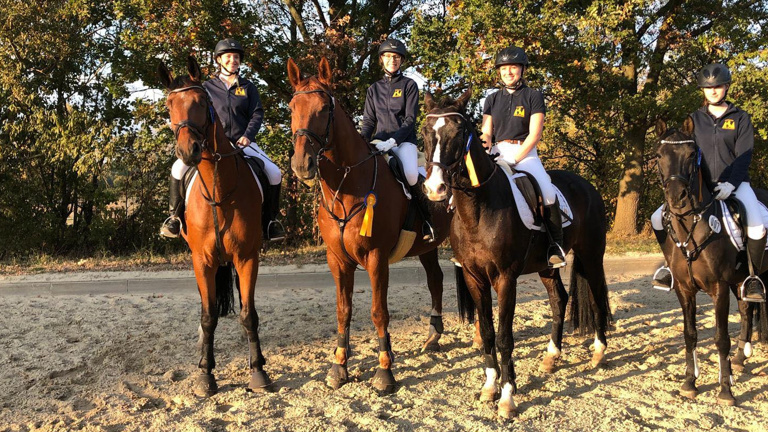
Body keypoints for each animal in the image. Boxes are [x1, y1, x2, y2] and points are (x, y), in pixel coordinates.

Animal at [158, 55, 274, 396]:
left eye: (201, 101)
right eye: (169, 105)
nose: (189, 152)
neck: (219, 190)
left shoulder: (247, 258)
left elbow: (249, 315)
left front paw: (258, 370)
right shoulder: (203, 260)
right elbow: (208, 316)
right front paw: (205, 374)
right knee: (204, 306)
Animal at [286, 56, 450, 392]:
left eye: (324, 107)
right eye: (292, 108)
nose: (301, 165)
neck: (347, 188)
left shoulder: (376, 258)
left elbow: (378, 313)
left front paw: (385, 371)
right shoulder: (337, 260)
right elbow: (343, 311)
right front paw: (339, 366)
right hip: (428, 248)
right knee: (436, 280)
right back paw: (433, 336)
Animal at [420, 89, 612, 416]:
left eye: (458, 132)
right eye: (424, 130)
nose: (435, 188)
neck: (478, 209)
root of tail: (588, 186)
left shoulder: (505, 278)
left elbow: (504, 338)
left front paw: (507, 397)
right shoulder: (474, 278)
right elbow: (487, 333)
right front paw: (489, 387)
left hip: (591, 255)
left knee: (598, 297)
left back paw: (598, 353)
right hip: (547, 266)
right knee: (559, 300)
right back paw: (551, 356)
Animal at [656, 118, 768, 404]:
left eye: (690, 154)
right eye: (659, 156)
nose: (677, 198)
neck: (691, 227)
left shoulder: (719, 288)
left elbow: (720, 338)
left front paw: (726, 390)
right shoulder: (684, 289)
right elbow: (690, 335)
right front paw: (689, 382)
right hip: (741, 281)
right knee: (746, 310)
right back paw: (739, 359)